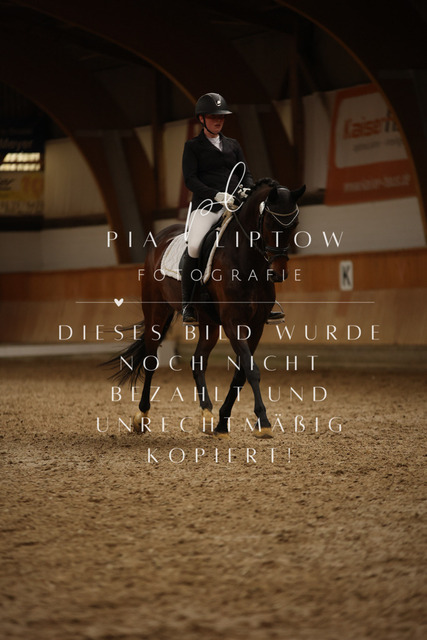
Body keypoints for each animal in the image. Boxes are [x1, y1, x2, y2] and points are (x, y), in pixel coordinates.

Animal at [108, 178, 305, 438]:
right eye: (270, 223)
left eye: (295, 225)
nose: (278, 273)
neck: (246, 260)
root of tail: (161, 235)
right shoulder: (232, 322)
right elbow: (250, 369)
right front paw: (263, 422)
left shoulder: (256, 325)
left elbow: (241, 372)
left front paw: (223, 423)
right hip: (156, 313)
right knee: (151, 360)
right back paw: (141, 417)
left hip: (209, 323)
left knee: (197, 361)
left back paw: (207, 414)